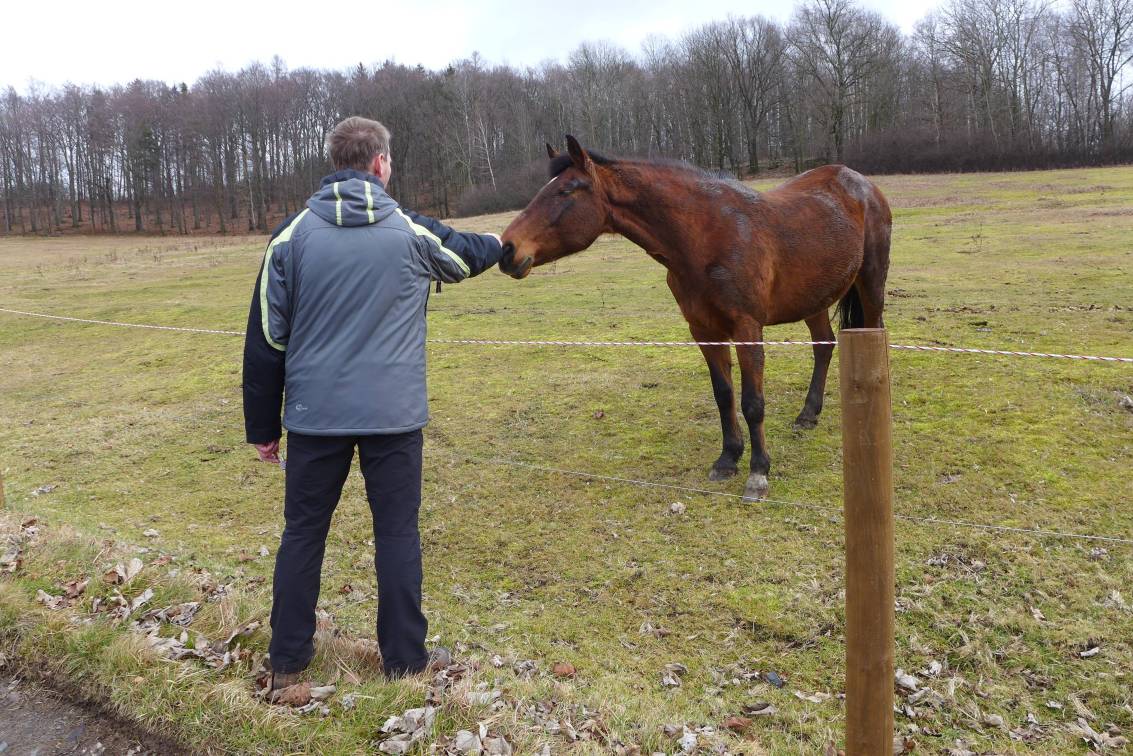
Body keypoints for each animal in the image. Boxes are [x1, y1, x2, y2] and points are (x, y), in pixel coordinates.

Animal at [500, 136, 888, 503]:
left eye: (565, 190)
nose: (506, 249)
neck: (706, 238)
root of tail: (860, 183)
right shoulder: (704, 331)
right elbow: (724, 395)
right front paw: (728, 459)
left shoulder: (747, 329)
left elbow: (752, 403)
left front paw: (758, 473)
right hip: (814, 301)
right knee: (824, 346)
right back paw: (808, 414)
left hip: (870, 285)